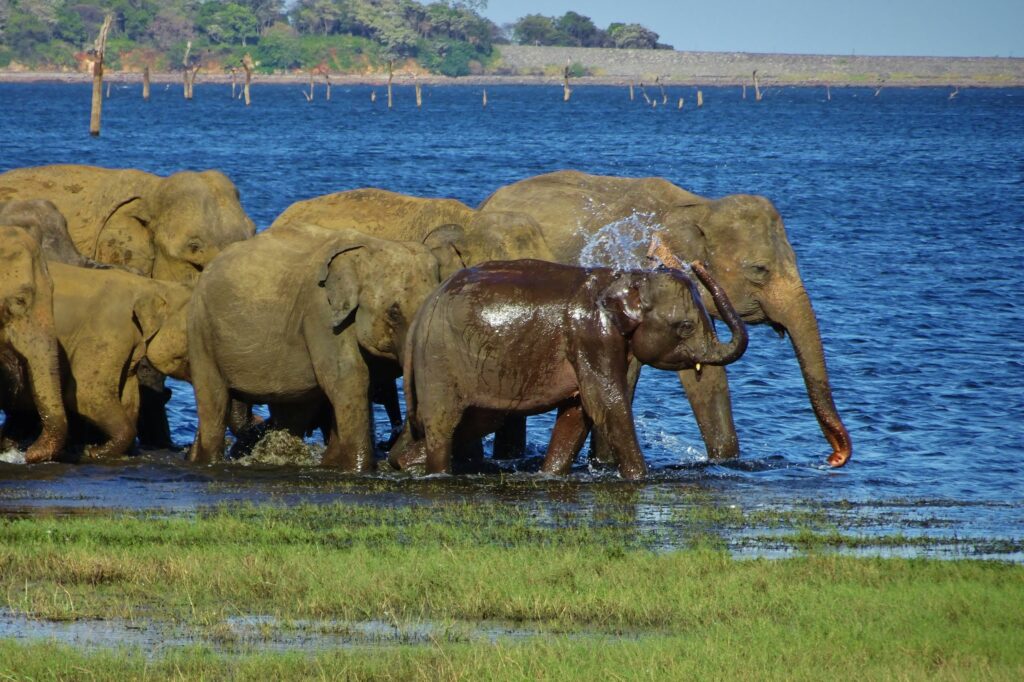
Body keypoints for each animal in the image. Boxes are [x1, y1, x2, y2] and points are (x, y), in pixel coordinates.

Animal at [188, 219, 440, 466]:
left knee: (293, 413)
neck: (368, 248)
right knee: (214, 402)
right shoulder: (321, 314)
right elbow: (349, 379)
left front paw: (332, 463)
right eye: (394, 313)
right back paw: (209, 460)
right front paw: (358, 468)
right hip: (201, 331)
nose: (398, 459)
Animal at [395, 256, 749, 477]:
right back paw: (435, 473)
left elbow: (579, 410)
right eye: (686, 327)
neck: (629, 277)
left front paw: (548, 475)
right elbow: (606, 402)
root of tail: (422, 313)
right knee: (444, 426)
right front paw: (641, 477)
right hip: (439, 362)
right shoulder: (592, 334)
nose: (697, 264)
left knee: (475, 422)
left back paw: (401, 464)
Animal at [479, 169, 856, 466]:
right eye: (760, 270)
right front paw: (604, 464)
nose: (833, 459)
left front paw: (726, 462)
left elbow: (704, 372)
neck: (699, 207)